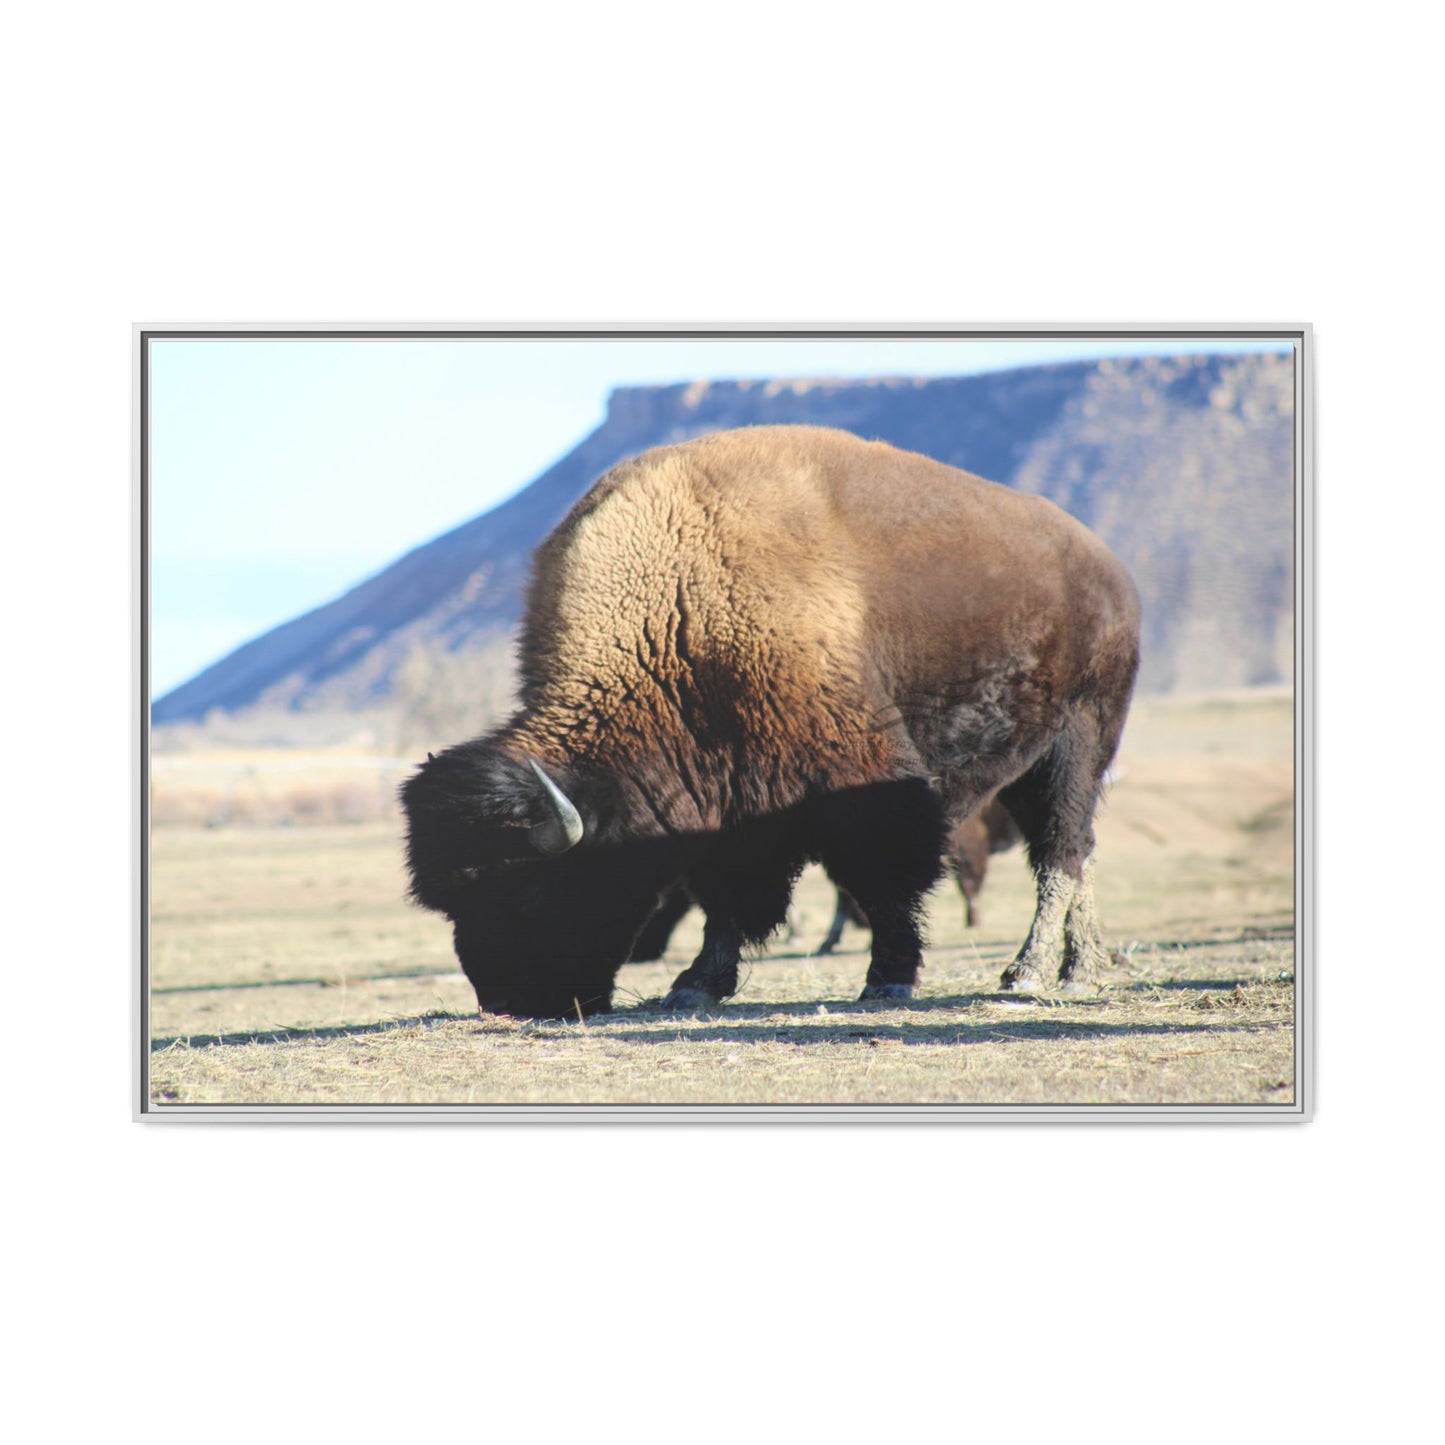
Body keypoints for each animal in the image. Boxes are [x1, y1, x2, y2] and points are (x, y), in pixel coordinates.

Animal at [402, 425, 1140, 1017]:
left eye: (526, 893)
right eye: (452, 903)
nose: (508, 1001)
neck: (677, 613)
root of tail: (1107, 567)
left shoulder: (860, 781)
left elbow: (883, 879)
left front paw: (888, 978)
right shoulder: (726, 801)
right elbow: (727, 896)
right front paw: (694, 985)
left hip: (1080, 740)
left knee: (1061, 850)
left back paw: (1034, 973)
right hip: (1027, 764)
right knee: (1073, 851)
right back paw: (1080, 966)